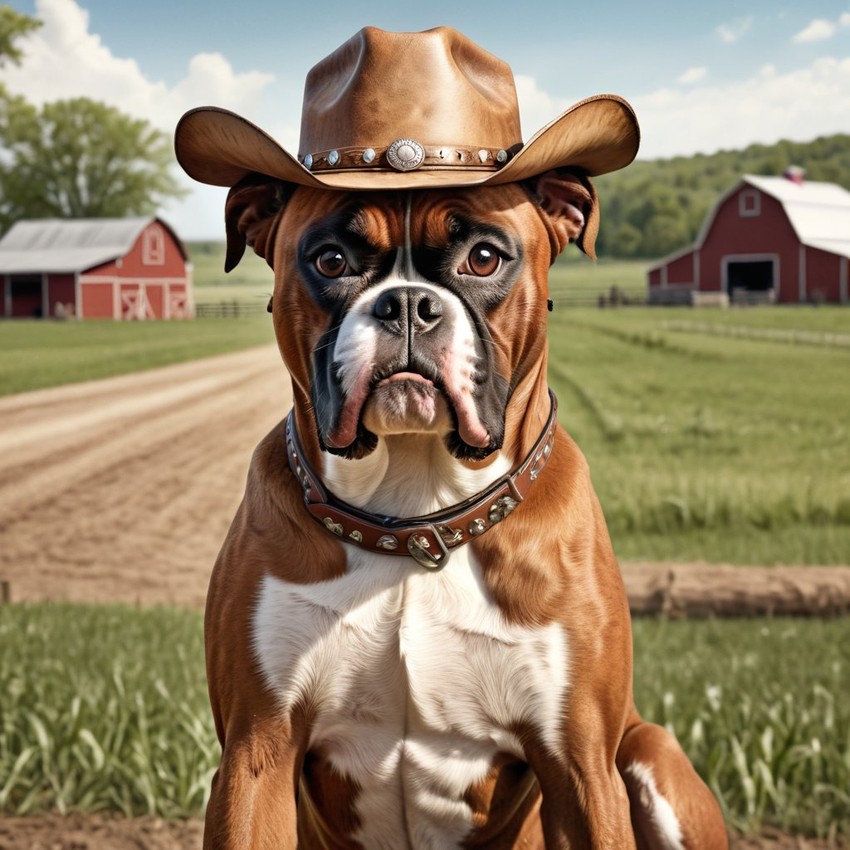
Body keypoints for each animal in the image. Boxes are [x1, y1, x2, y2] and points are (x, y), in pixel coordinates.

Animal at [176, 26, 724, 848]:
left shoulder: (580, 765)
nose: (407, 304)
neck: (416, 518)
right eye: (331, 260)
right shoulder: (255, 753)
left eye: (484, 257)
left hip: (645, 751)